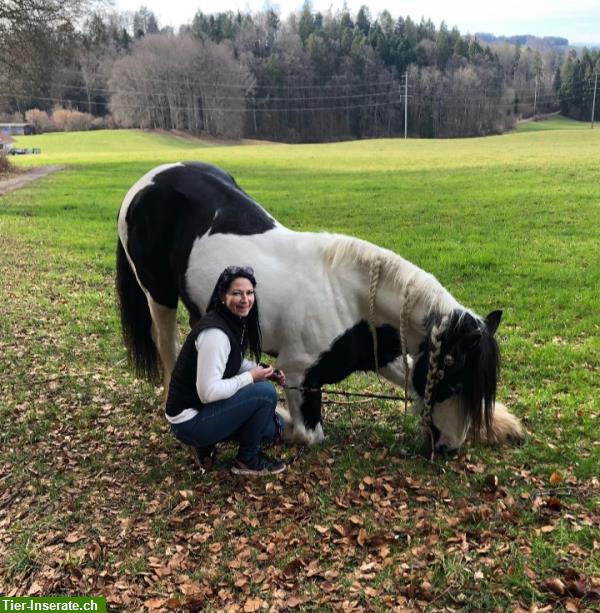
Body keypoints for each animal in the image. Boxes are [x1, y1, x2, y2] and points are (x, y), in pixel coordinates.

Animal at [115, 160, 524, 452]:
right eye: (454, 381)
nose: (450, 447)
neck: (350, 300)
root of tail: (146, 182)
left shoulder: (382, 351)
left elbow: (408, 376)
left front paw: (499, 424)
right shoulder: (298, 374)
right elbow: (307, 433)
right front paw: (277, 420)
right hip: (158, 295)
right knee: (166, 344)